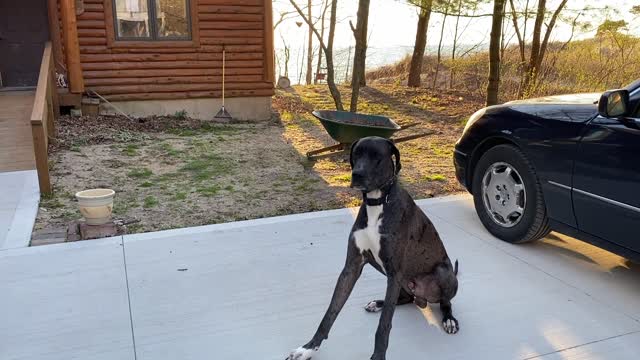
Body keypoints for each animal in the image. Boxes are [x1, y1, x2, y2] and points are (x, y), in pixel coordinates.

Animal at [286, 136, 460, 358]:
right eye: (356, 154)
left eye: (377, 156)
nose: (357, 175)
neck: (378, 202)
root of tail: (422, 299)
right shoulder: (352, 267)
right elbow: (330, 312)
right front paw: (309, 347)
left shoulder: (394, 272)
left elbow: (384, 325)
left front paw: (378, 356)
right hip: (390, 273)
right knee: (405, 298)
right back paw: (378, 303)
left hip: (443, 271)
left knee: (445, 302)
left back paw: (449, 319)